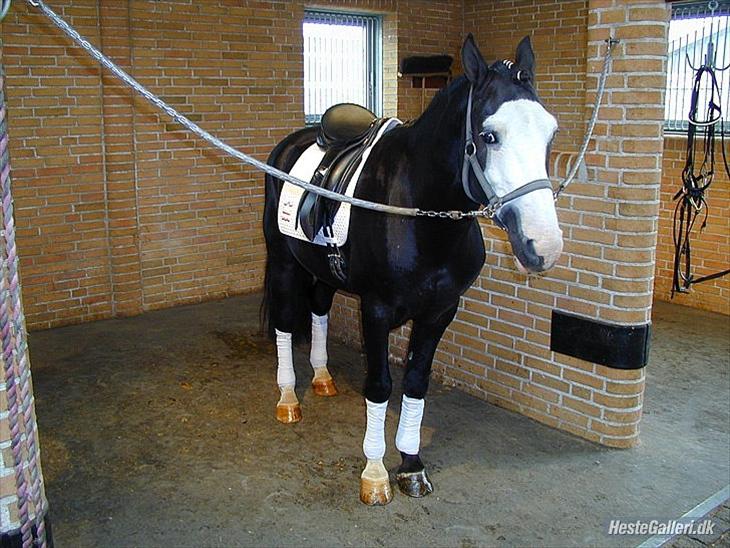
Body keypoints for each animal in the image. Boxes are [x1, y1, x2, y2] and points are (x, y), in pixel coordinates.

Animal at [261, 34, 562, 506]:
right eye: (489, 135)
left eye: (551, 132)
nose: (543, 246)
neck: (419, 213)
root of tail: (293, 141)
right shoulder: (375, 311)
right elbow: (381, 386)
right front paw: (375, 473)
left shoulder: (440, 312)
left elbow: (416, 382)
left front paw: (411, 463)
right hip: (283, 263)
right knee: (286, 323)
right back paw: (289, 398)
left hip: (323, 271)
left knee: (319, 311)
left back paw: (323, 378)